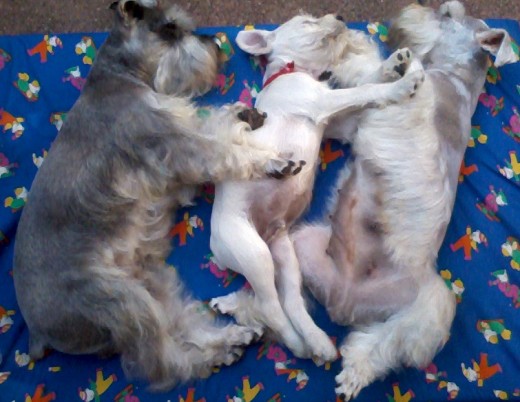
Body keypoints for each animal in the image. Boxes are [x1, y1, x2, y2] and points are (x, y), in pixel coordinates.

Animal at [14, 0, 298, 392]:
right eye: (171, 28)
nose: (215, 44)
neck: (126, 76)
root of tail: (36, 332)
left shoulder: (180, 153)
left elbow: (215, 127)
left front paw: (242, 113)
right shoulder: (177, 147)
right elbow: (226, 152)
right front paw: (271, 161)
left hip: (151, 282)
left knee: (179, 325)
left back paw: (231, 338)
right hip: (123, 302)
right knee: (163, 362)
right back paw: (216, 355)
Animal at [205, 14, 424, 362]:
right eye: (307, 21)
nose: (340, 17)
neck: (291, 69)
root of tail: (217, 247)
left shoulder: (338, 122)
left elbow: (366, 85)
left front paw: (395, 63)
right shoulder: (322, 101)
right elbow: (365, 90)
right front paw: (402, 84)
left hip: (284, 251)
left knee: (291, 300)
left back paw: (317, 341)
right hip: (252, 252)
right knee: (270, 306)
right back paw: (295, 342)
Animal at [290, 0, 516, 398]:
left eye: (448, 13)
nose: (409, 12)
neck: (456, 76)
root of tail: (342, 304)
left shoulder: (404, 101)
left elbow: (372, 75)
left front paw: (361, 55)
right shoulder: (350, 124)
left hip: (431, 306)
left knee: (385, 343)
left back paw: (354, 373)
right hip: (306, 245)